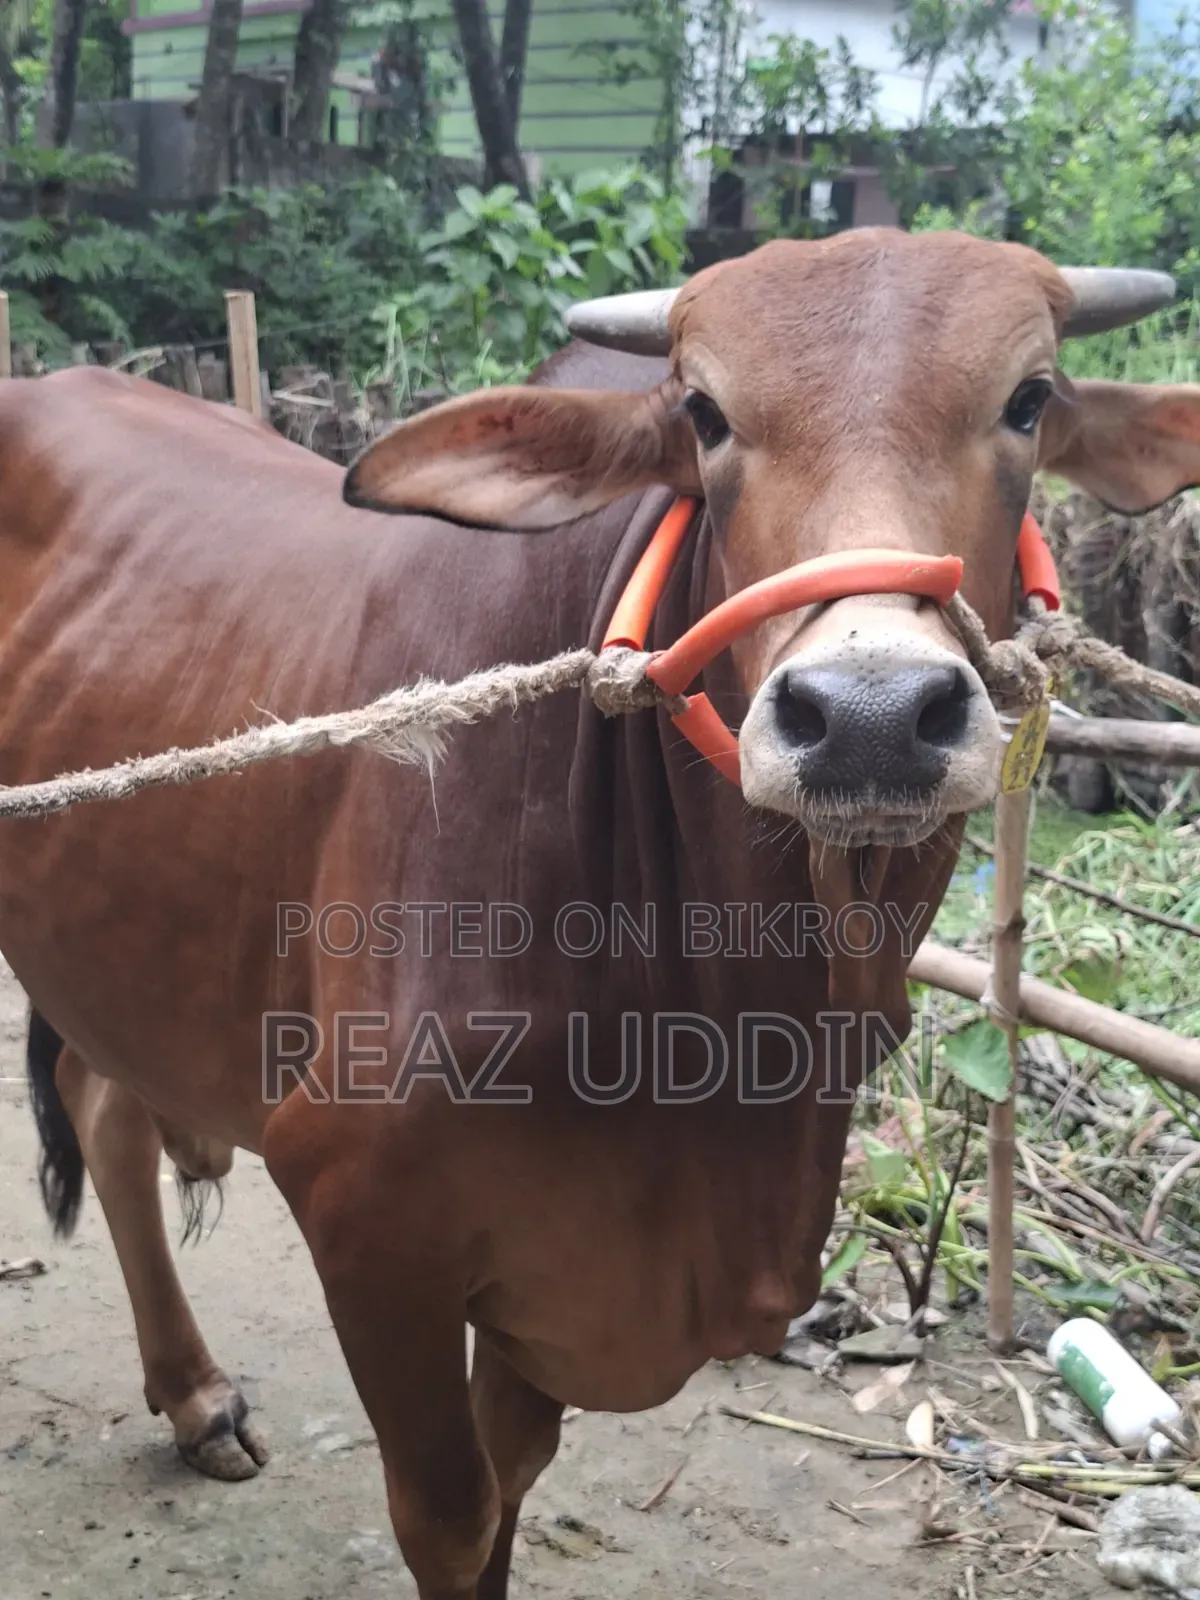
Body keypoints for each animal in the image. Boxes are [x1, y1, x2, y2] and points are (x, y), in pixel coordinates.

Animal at [3, 228, 1198, 1600]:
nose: (872, 716)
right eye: (705, 412)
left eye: (1029, 398)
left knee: (102, 1106)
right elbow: (452, 1514)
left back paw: (194, 1396)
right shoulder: (366, 1214)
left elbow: (513, 1485)